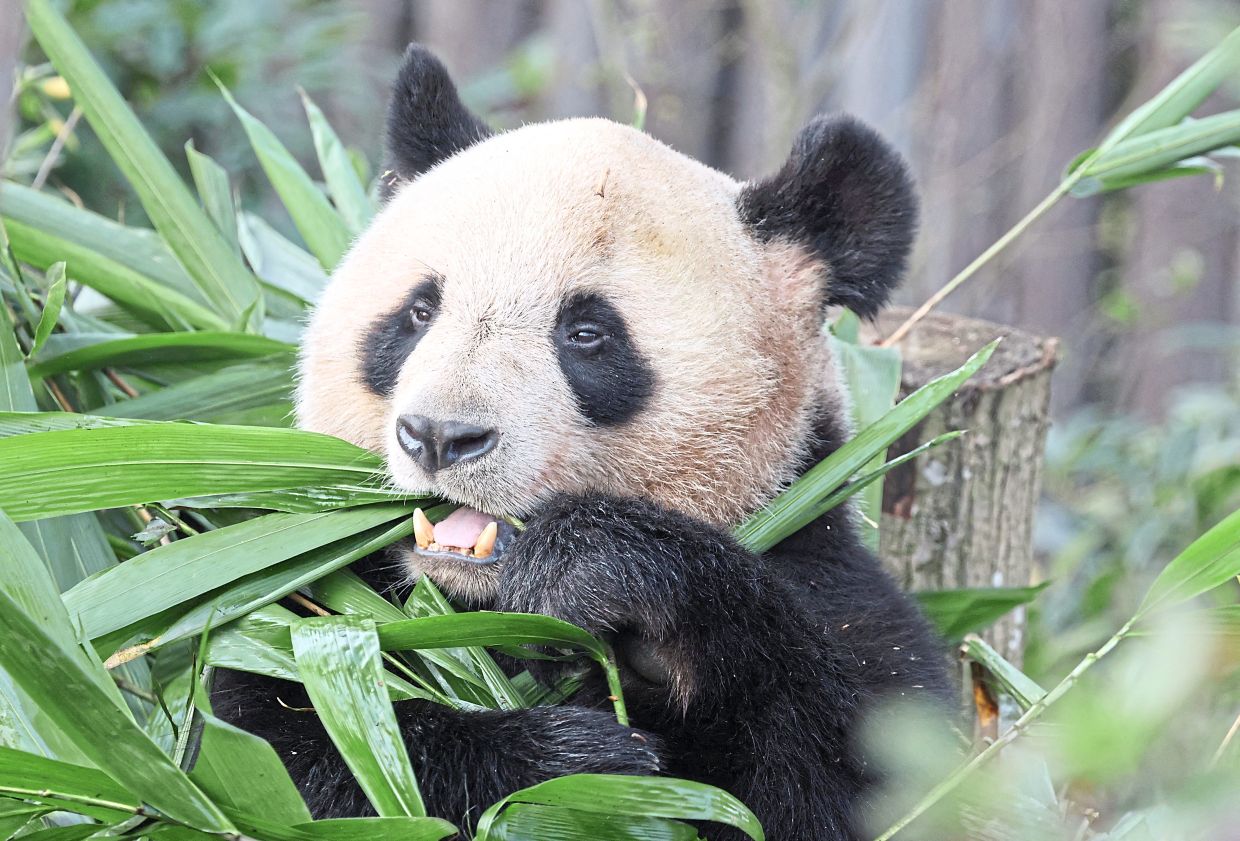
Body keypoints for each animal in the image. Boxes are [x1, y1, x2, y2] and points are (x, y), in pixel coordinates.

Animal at [212, 44, 951, 841]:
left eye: (588, 333)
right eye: (417, 312)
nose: (440, 436)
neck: (480, 598)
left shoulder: (827, 565)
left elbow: (872, 776)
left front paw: (596, 569)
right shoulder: (297, 588)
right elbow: (279, 742)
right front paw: (571, 768)